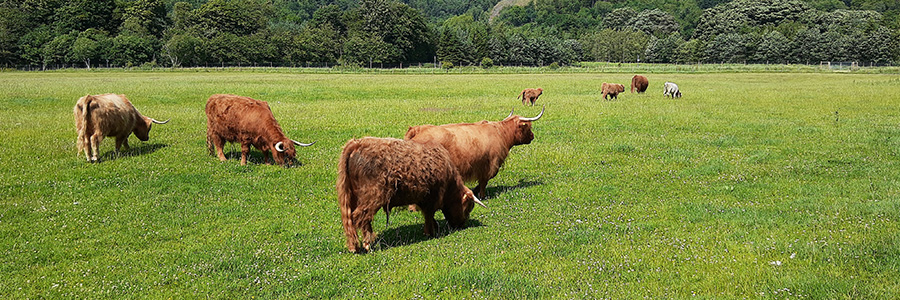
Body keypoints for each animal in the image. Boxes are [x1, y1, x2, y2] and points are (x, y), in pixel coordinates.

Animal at [338, 138, 486, 253]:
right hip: (372, 196)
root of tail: (357, 143)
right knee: (361, 217)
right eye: (468, 208)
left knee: (350, 220)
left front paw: (434, 227)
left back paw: (354, 246)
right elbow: (429, 215)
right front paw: (430, 232)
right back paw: (368, 245)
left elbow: (428, 215)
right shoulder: (432, 199)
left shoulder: (423, 199)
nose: (461, 224)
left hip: (352, 197)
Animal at [406, 105, 544, 199]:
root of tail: (417, 129)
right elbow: (484, 181)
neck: (501, 133)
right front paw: (481, 195)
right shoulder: (491, 164)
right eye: (528, 127)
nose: (532, 136)